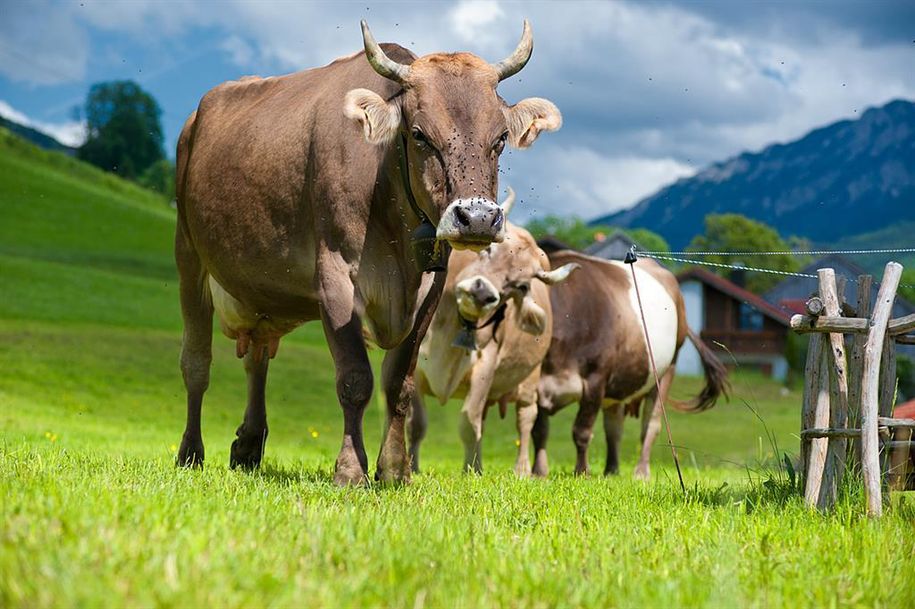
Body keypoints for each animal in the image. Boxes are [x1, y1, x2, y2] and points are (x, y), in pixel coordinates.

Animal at [412, 204, 576, 476]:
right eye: (488, 249)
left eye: (520, 286)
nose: (481, 293)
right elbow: (416, 422)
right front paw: (413, 468)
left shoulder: (484, 367)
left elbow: (469, 422)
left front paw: (467, 471)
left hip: (529, 379)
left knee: (525, 419)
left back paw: (521, 469)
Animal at [532, 249, 728, 478]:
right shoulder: (537, 385)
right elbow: (539, 430)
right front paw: (538, 472)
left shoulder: (595, 381)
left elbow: (581, 431)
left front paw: (582, 472)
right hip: (618, 384)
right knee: (614, 428)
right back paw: (612, 470)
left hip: (667, 370)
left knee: (650, 425)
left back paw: (641, 472)